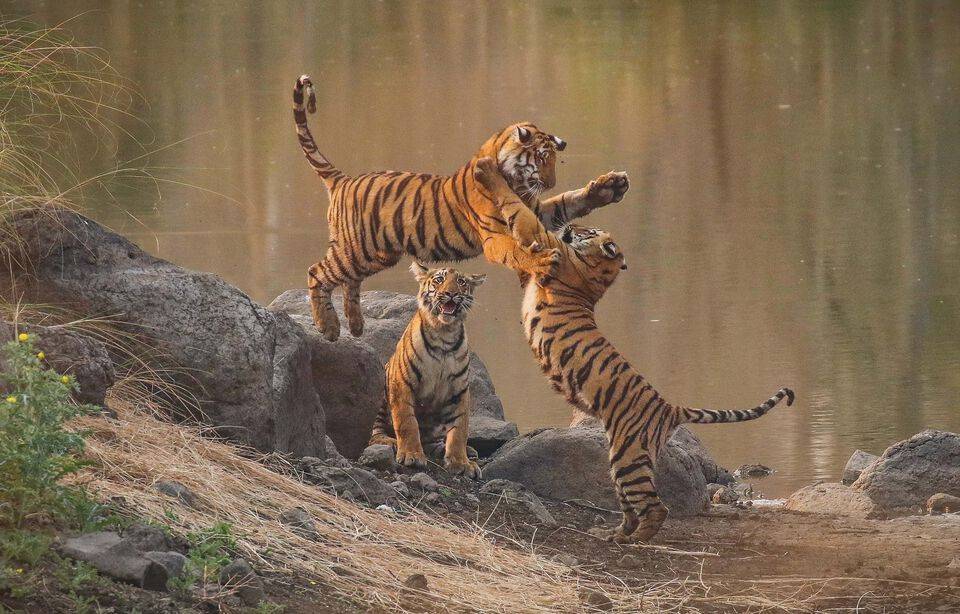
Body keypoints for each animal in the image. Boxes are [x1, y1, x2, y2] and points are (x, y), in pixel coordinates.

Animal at [293, 74, 629, 342]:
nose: (550, 182)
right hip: (356, 249)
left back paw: (356, 325)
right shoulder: (496, 237)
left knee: (349, 281)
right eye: (542, 159)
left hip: (375, 254)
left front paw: (609, 187)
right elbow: (518, 251)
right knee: (317, 272)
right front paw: (543, 261)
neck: (515, 181)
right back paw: (329, 327)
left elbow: (566, 203)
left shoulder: (536, 211)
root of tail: (344, 179)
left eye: (554, 160)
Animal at [368, 262, 497, 478]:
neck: (445, 334)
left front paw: (461, 462)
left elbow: (459, 429)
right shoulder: (402, 383)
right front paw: (411, 455)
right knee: (374, 432)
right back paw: (390, 442)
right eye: (439, 280)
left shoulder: (459, 391)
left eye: (461, 282)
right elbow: (407, 422)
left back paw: (464, 450)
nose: (451, 293)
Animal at [472, 156, 795, 542]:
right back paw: (614, 534)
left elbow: (521, 212)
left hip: (628, 457)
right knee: (632, 506)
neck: (599, 272)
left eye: (589, 231)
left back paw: (635, 539)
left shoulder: (547, 246)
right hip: (621, 459)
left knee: (657, 508)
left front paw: (488, 173)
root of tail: (669, 407)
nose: (574, 226)